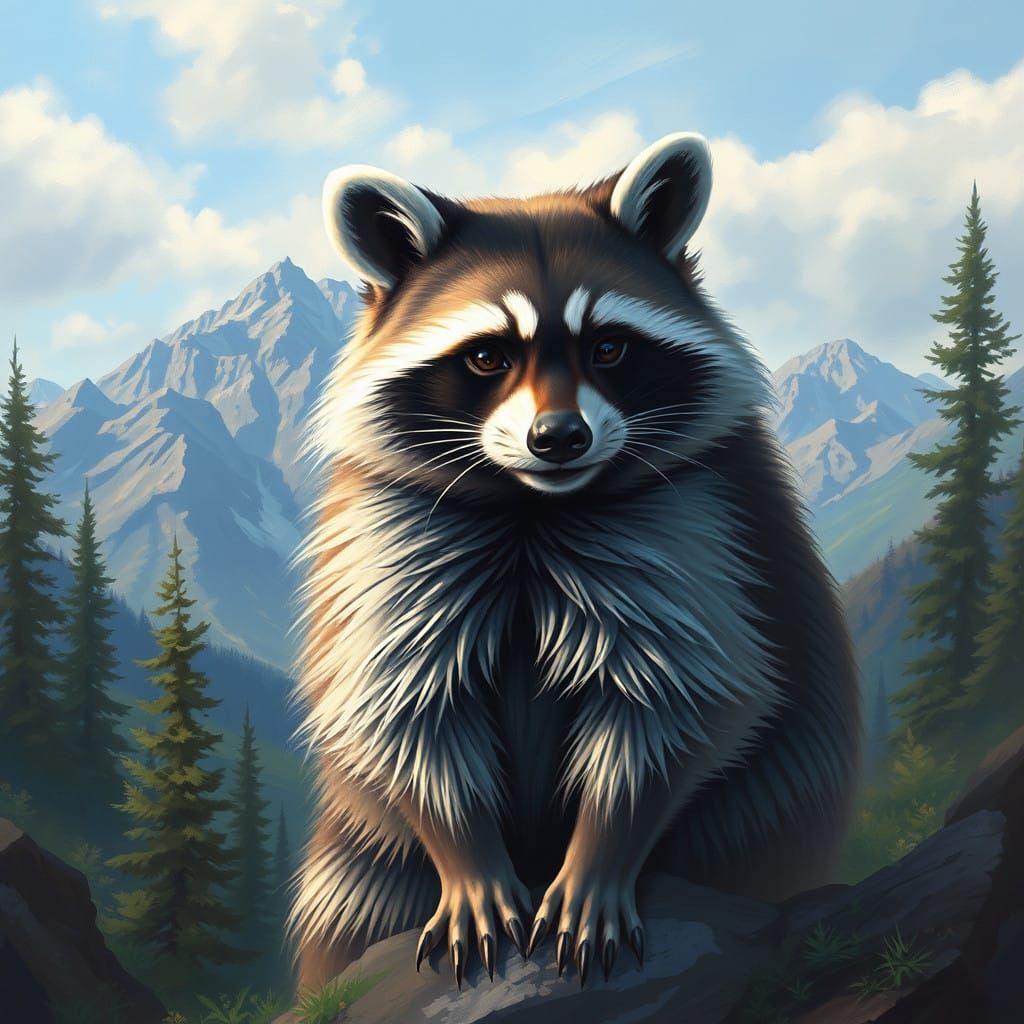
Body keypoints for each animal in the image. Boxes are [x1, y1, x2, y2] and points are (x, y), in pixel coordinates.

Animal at [288, 132, 860, 991]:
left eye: (610, 346)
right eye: (487, 357)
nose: (558, 438)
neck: (536, 507)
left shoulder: (692, 530)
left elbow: (678, 703)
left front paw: (599, 859)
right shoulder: (396, 541)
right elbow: (409, 713)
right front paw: (471, 865)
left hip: (764, 817)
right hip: (361, 864)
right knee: (352, 904)